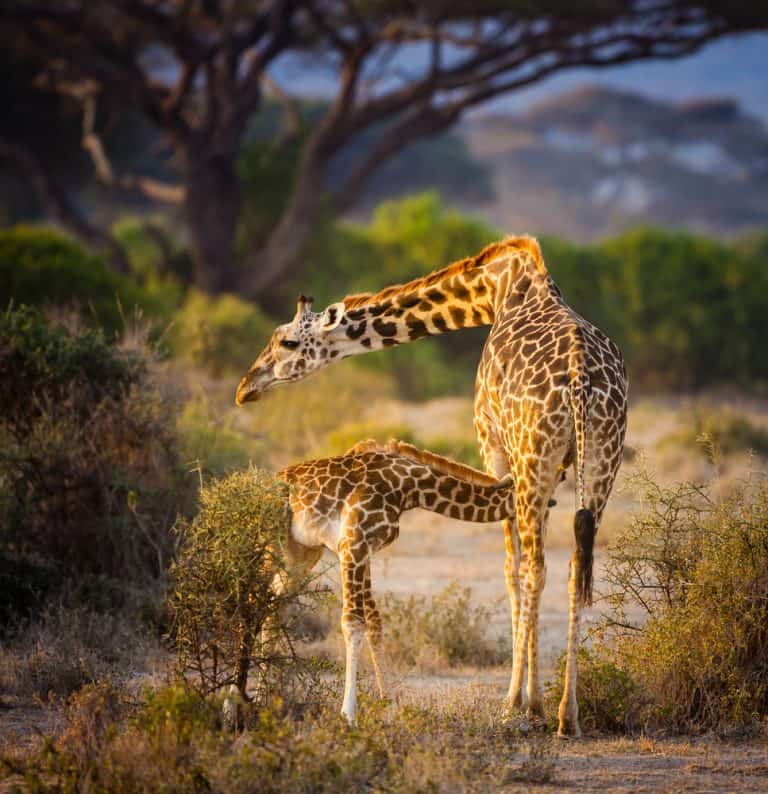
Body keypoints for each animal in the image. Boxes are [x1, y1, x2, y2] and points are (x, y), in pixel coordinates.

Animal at [254, 439, 516, 724]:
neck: (410, 486)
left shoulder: (364, 548)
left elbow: (374, 622)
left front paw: (388, 705)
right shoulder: (353, 543)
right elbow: (352, 622)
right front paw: (348, 714)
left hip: (300, 553)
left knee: (273, 608)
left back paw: (260, 700)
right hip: (270, 544)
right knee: (254, 599)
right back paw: (238, 700)